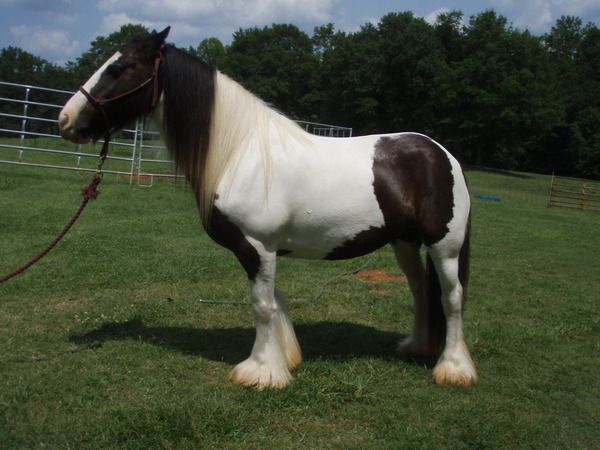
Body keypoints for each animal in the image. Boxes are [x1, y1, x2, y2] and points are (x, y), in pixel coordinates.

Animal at [58, 27, 478, 390]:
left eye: (118, 68)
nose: (65, 119)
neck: (240, 154)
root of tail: (443, 155)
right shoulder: (263, 249)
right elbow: (275, 301)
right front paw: (284, 357)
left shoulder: (258, 245)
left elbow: (261, 306)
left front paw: (260, 372)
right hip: (404, 242)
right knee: (420, 289)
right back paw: (416, 346)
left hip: (444, 246)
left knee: (452, 297)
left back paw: (453, 368)